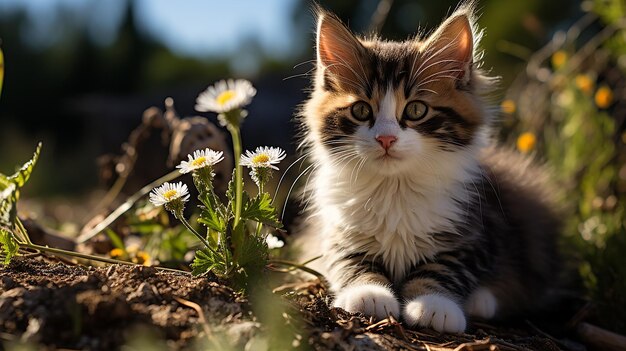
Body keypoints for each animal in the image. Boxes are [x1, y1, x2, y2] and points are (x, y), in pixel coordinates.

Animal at [294, 1, 560, 334]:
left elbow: (444, 268)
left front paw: (433, 304)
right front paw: (368, 293)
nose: (386, 138)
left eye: (416, 110)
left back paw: (481, 300)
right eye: (361, 110)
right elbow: (350, 262)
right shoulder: (336, 232)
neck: (395, 188)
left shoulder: (475, 234)